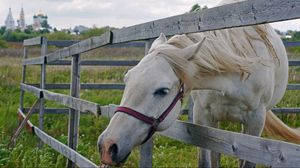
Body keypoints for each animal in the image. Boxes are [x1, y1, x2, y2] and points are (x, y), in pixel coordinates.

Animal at [97, 0, 298, 167]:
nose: (107, 146)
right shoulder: (203, 117)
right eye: (127, 80)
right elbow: (206, 161)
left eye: (162, 90)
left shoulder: (255, 123)